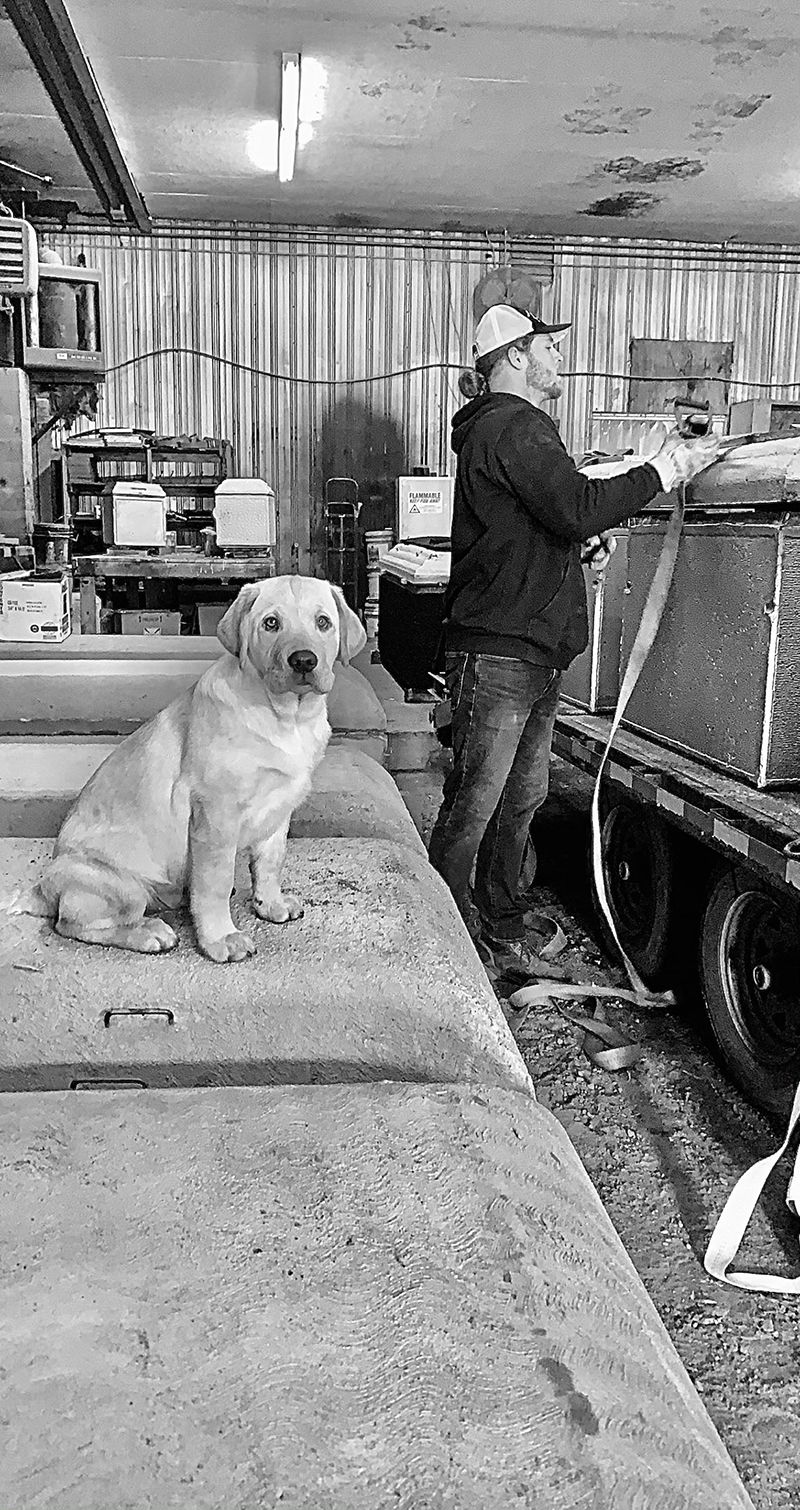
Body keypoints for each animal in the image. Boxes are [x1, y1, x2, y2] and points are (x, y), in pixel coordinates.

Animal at [29, 570, 365, 960]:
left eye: (323, 622)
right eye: (271, 624)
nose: (304, 661)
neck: (287, 717)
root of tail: (42, 889)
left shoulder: (279, 809)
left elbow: (270, 862)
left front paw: (271, 904)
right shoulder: (215, 814)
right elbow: (214, 882)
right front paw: (221, 938)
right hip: (121, 885)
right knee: (72, 923)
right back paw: (149, 933)